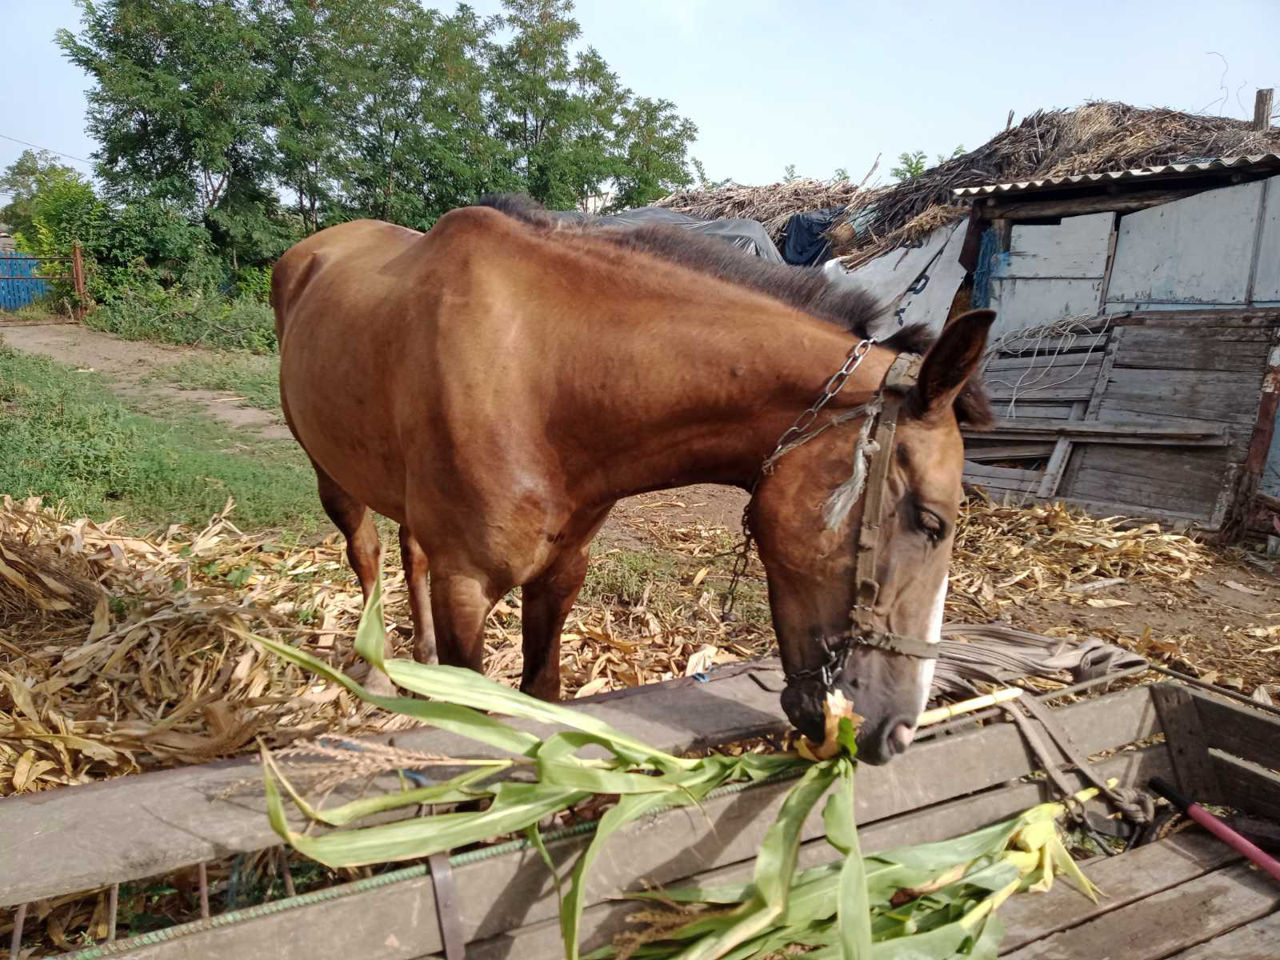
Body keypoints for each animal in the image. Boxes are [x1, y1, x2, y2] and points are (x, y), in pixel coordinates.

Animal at [267, 197, 988, 768]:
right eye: (930, 522)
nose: (897, 732)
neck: (541, 370)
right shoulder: (465, 586)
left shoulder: (562, 572)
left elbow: (541, 698)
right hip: (332, 477)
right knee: (368, 555)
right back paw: (378, 671)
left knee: (409, 550)